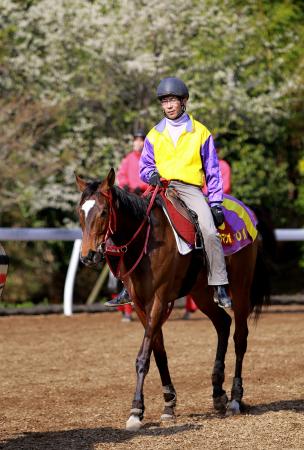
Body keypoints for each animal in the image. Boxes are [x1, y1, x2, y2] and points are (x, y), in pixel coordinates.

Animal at [75, 170, 268, 432]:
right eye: (80, 212)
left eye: (104, 212)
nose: (88, 256)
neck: (146, 241)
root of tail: (247, 213)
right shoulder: (141, 305)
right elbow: (158, 352)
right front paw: (169, 403)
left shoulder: (159, 299)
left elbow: (143, 357)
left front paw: (136, 409)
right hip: (201, 293)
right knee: (223, 324)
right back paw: (218, 393)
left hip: (240, 288)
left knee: (240, 337)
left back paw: (236, 398)